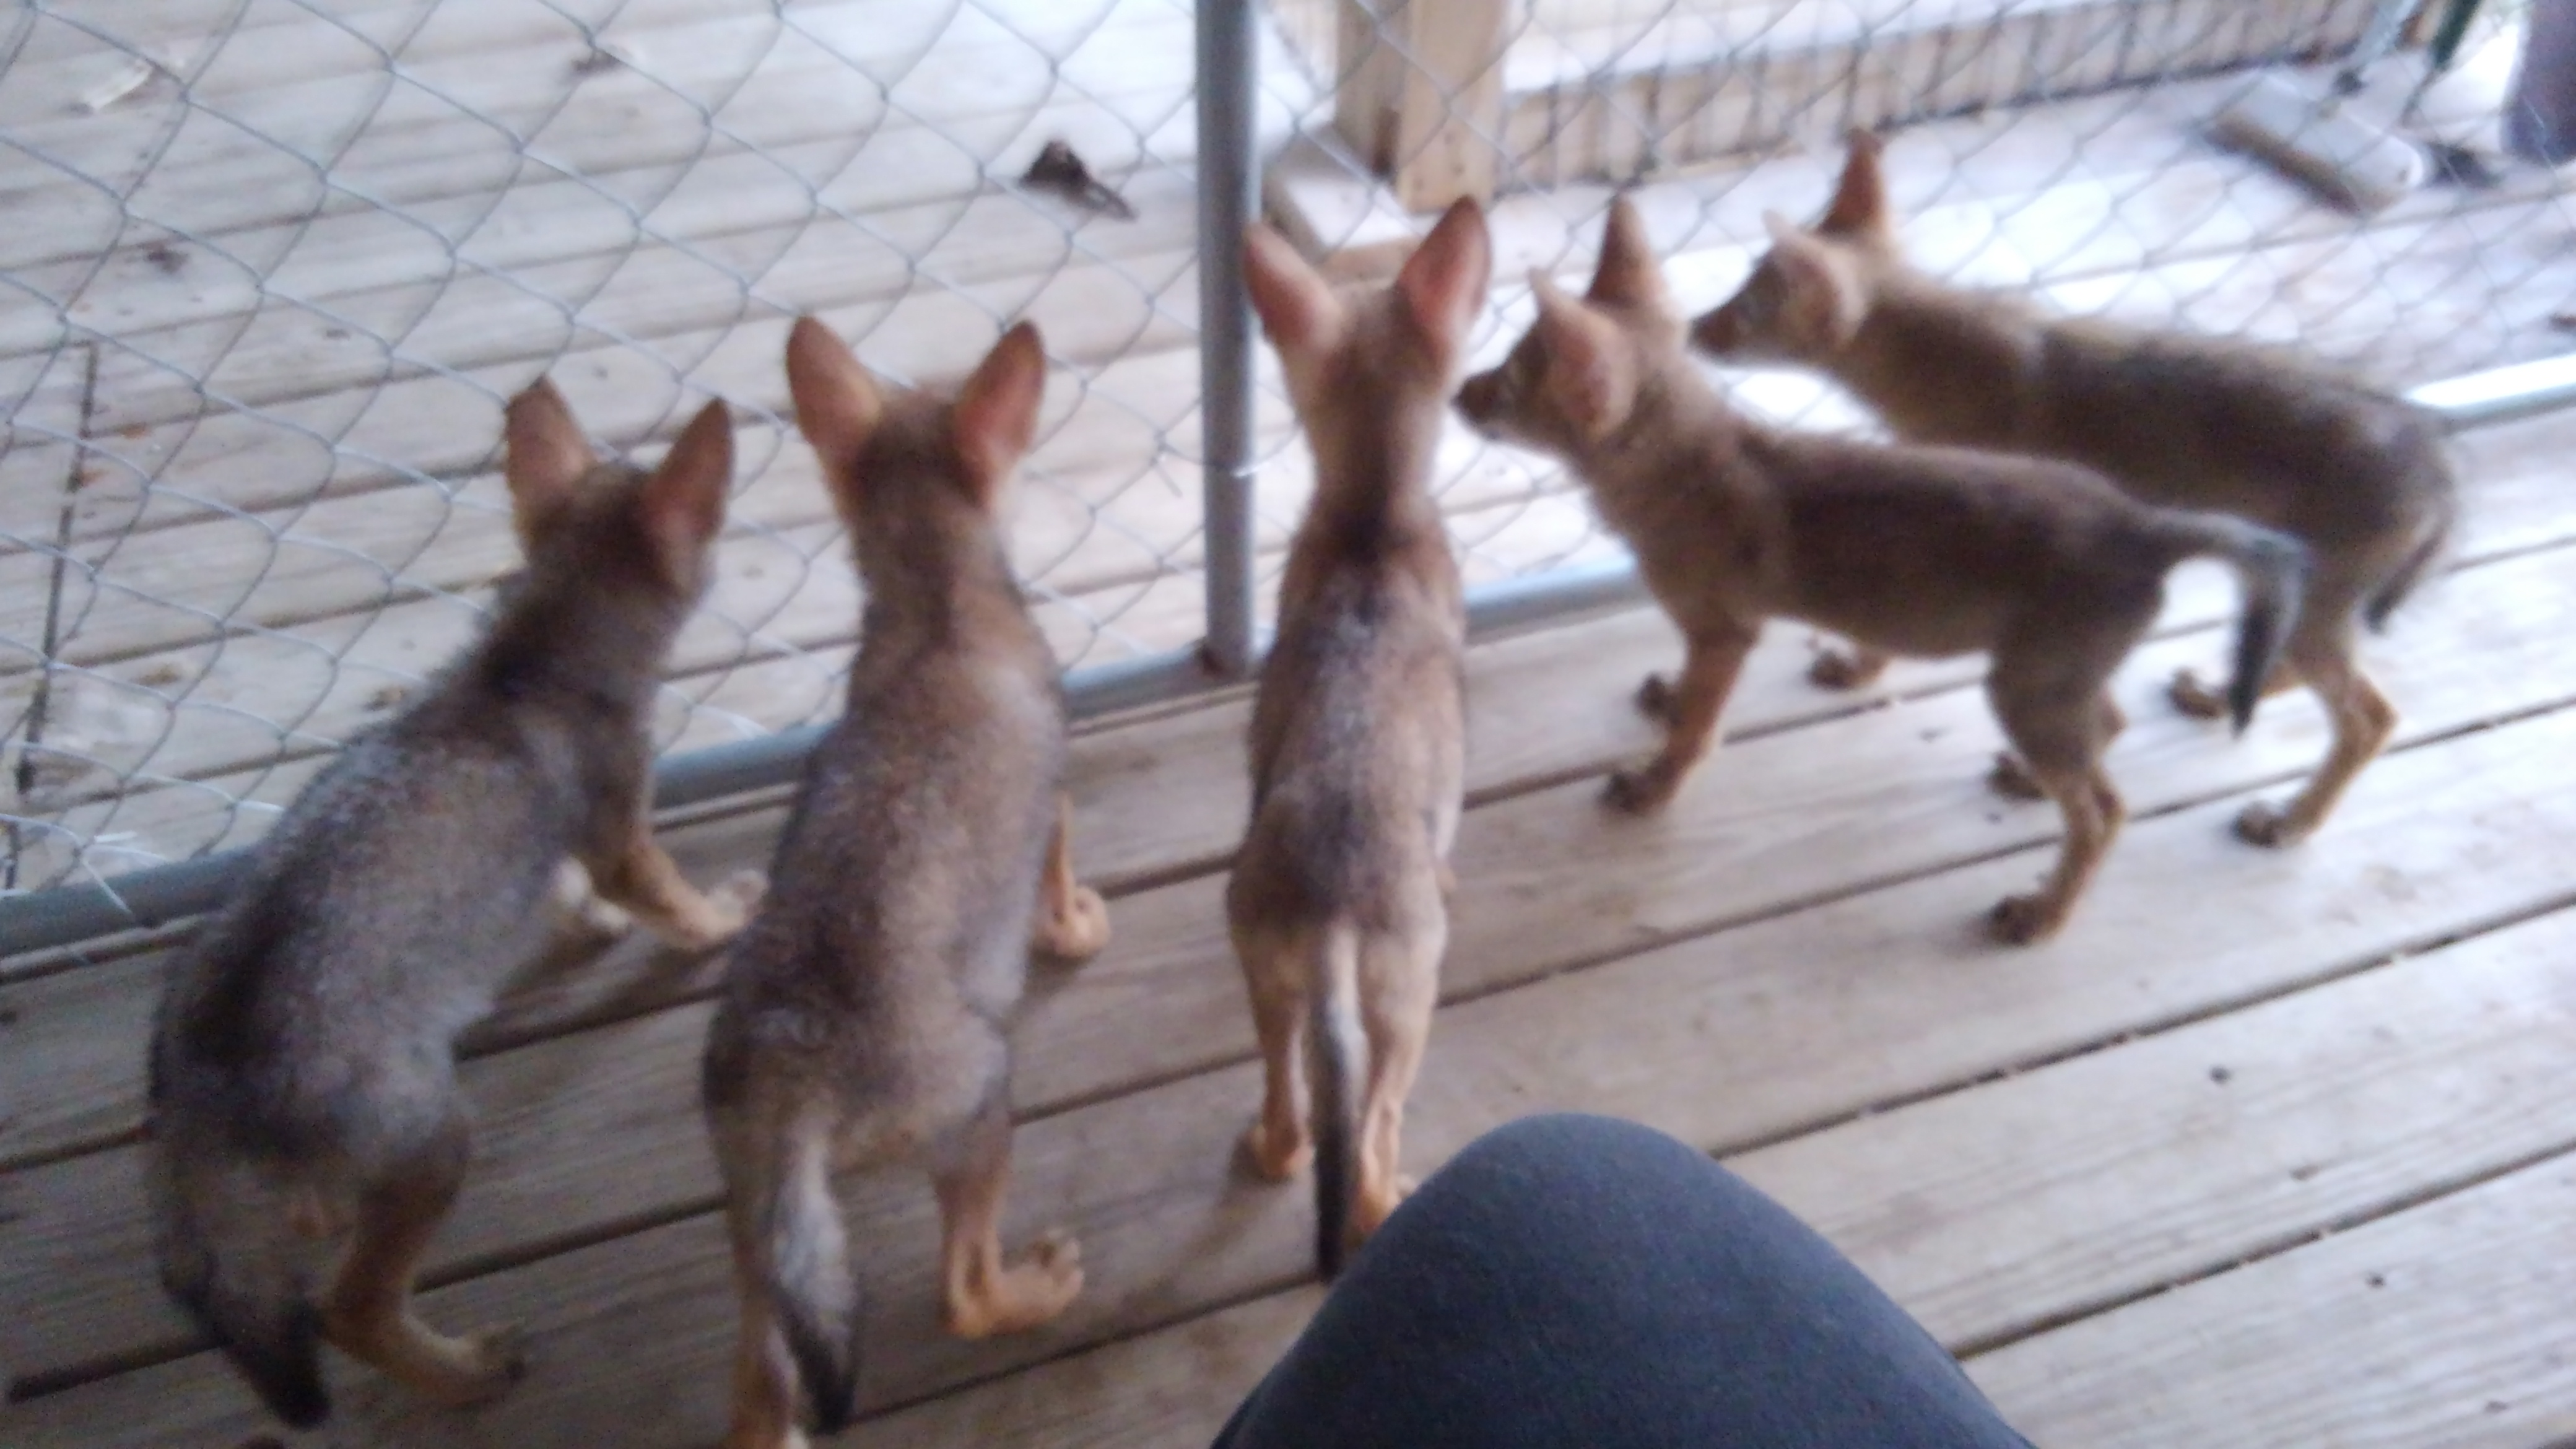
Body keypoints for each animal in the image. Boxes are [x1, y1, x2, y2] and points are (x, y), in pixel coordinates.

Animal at [145, 383, 762, 1428]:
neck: (527, 666)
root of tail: (202, 1073)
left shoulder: (564, 849)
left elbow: (560, 892)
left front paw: (591, 927)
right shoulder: (623, 839)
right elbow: (677, 906)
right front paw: (728, 918)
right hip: (438, 1146)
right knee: (349, 1312)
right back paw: (465, 1371)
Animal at [699, 317, 1113, 1449]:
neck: (938, 604)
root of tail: (792, 1068)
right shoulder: (1055, 801)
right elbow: (1059, 878)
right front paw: (1075, 928)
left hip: (766, 1240)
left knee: (762, 1394)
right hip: (981, 1106)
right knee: (963, 1293)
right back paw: (1036, 1289)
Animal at [1457, 198, 2309, 944]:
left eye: (1507, 383)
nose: (1459, 390)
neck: (1692, 474)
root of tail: (2145, 524)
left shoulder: (1725, 632)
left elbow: (1696, 733)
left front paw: (1653, 786)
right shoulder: (1711, 636)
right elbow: (1688, 699)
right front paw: (1669, 698)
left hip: (2023, 688)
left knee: (2104, 814)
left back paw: (2041, 916)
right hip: (2047, 683)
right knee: (2107, 731)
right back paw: (2032, 788)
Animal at [1691, 129, 2459, 846]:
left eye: (1746, 308)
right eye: (1736, 291)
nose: (1691, 327)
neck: (1944, 360)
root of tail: (2433, 449)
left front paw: (1861, 669)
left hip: (2314, 619)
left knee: (2368, 718)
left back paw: (2292, 820)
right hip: (2296, 606)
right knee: (2297, 669)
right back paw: (2217, 698)